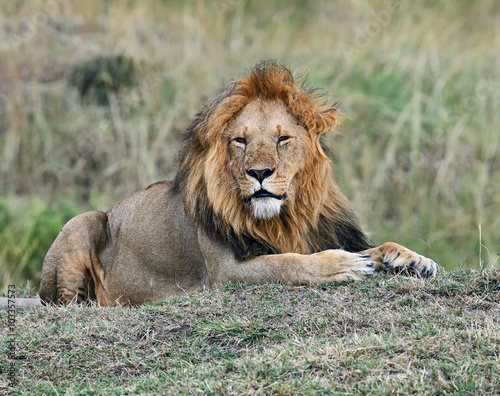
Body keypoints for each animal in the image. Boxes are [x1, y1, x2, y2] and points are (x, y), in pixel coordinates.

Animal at [38, 60, 438, 306]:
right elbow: (288, 264)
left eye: (282, 139)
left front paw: (413, 259)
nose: (259, 173)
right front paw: (341, 265)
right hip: (84, 221)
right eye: (240, 141)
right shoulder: (226, 272)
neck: (284, 217)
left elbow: (377, 247)